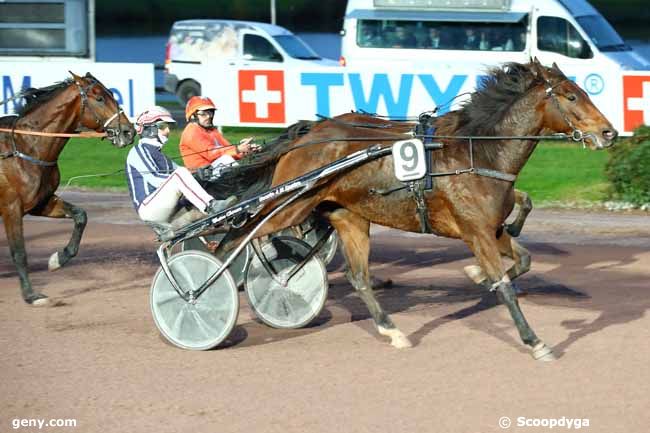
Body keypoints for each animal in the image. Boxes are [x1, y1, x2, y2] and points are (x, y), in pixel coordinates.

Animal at [1, 72, 135, 306]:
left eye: (111, 94)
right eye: (99, 98)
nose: (128, 131)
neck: (25, 147)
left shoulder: (41, 202)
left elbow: (80, 216)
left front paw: (58, 259)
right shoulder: (11, 208)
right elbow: (19, 252)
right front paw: (31, 295)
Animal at [221, 59, 612, 360]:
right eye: (571, 95)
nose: (608, 132)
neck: (477, 153)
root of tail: (307, 135)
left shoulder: (491, 228)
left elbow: (524, 260)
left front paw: (477, 275)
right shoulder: (476, 232)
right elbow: (505, 286)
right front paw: (534, 342)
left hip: (348, 218)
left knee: (358, 277)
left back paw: (391, 330)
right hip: (286, 207)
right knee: (233, 238)